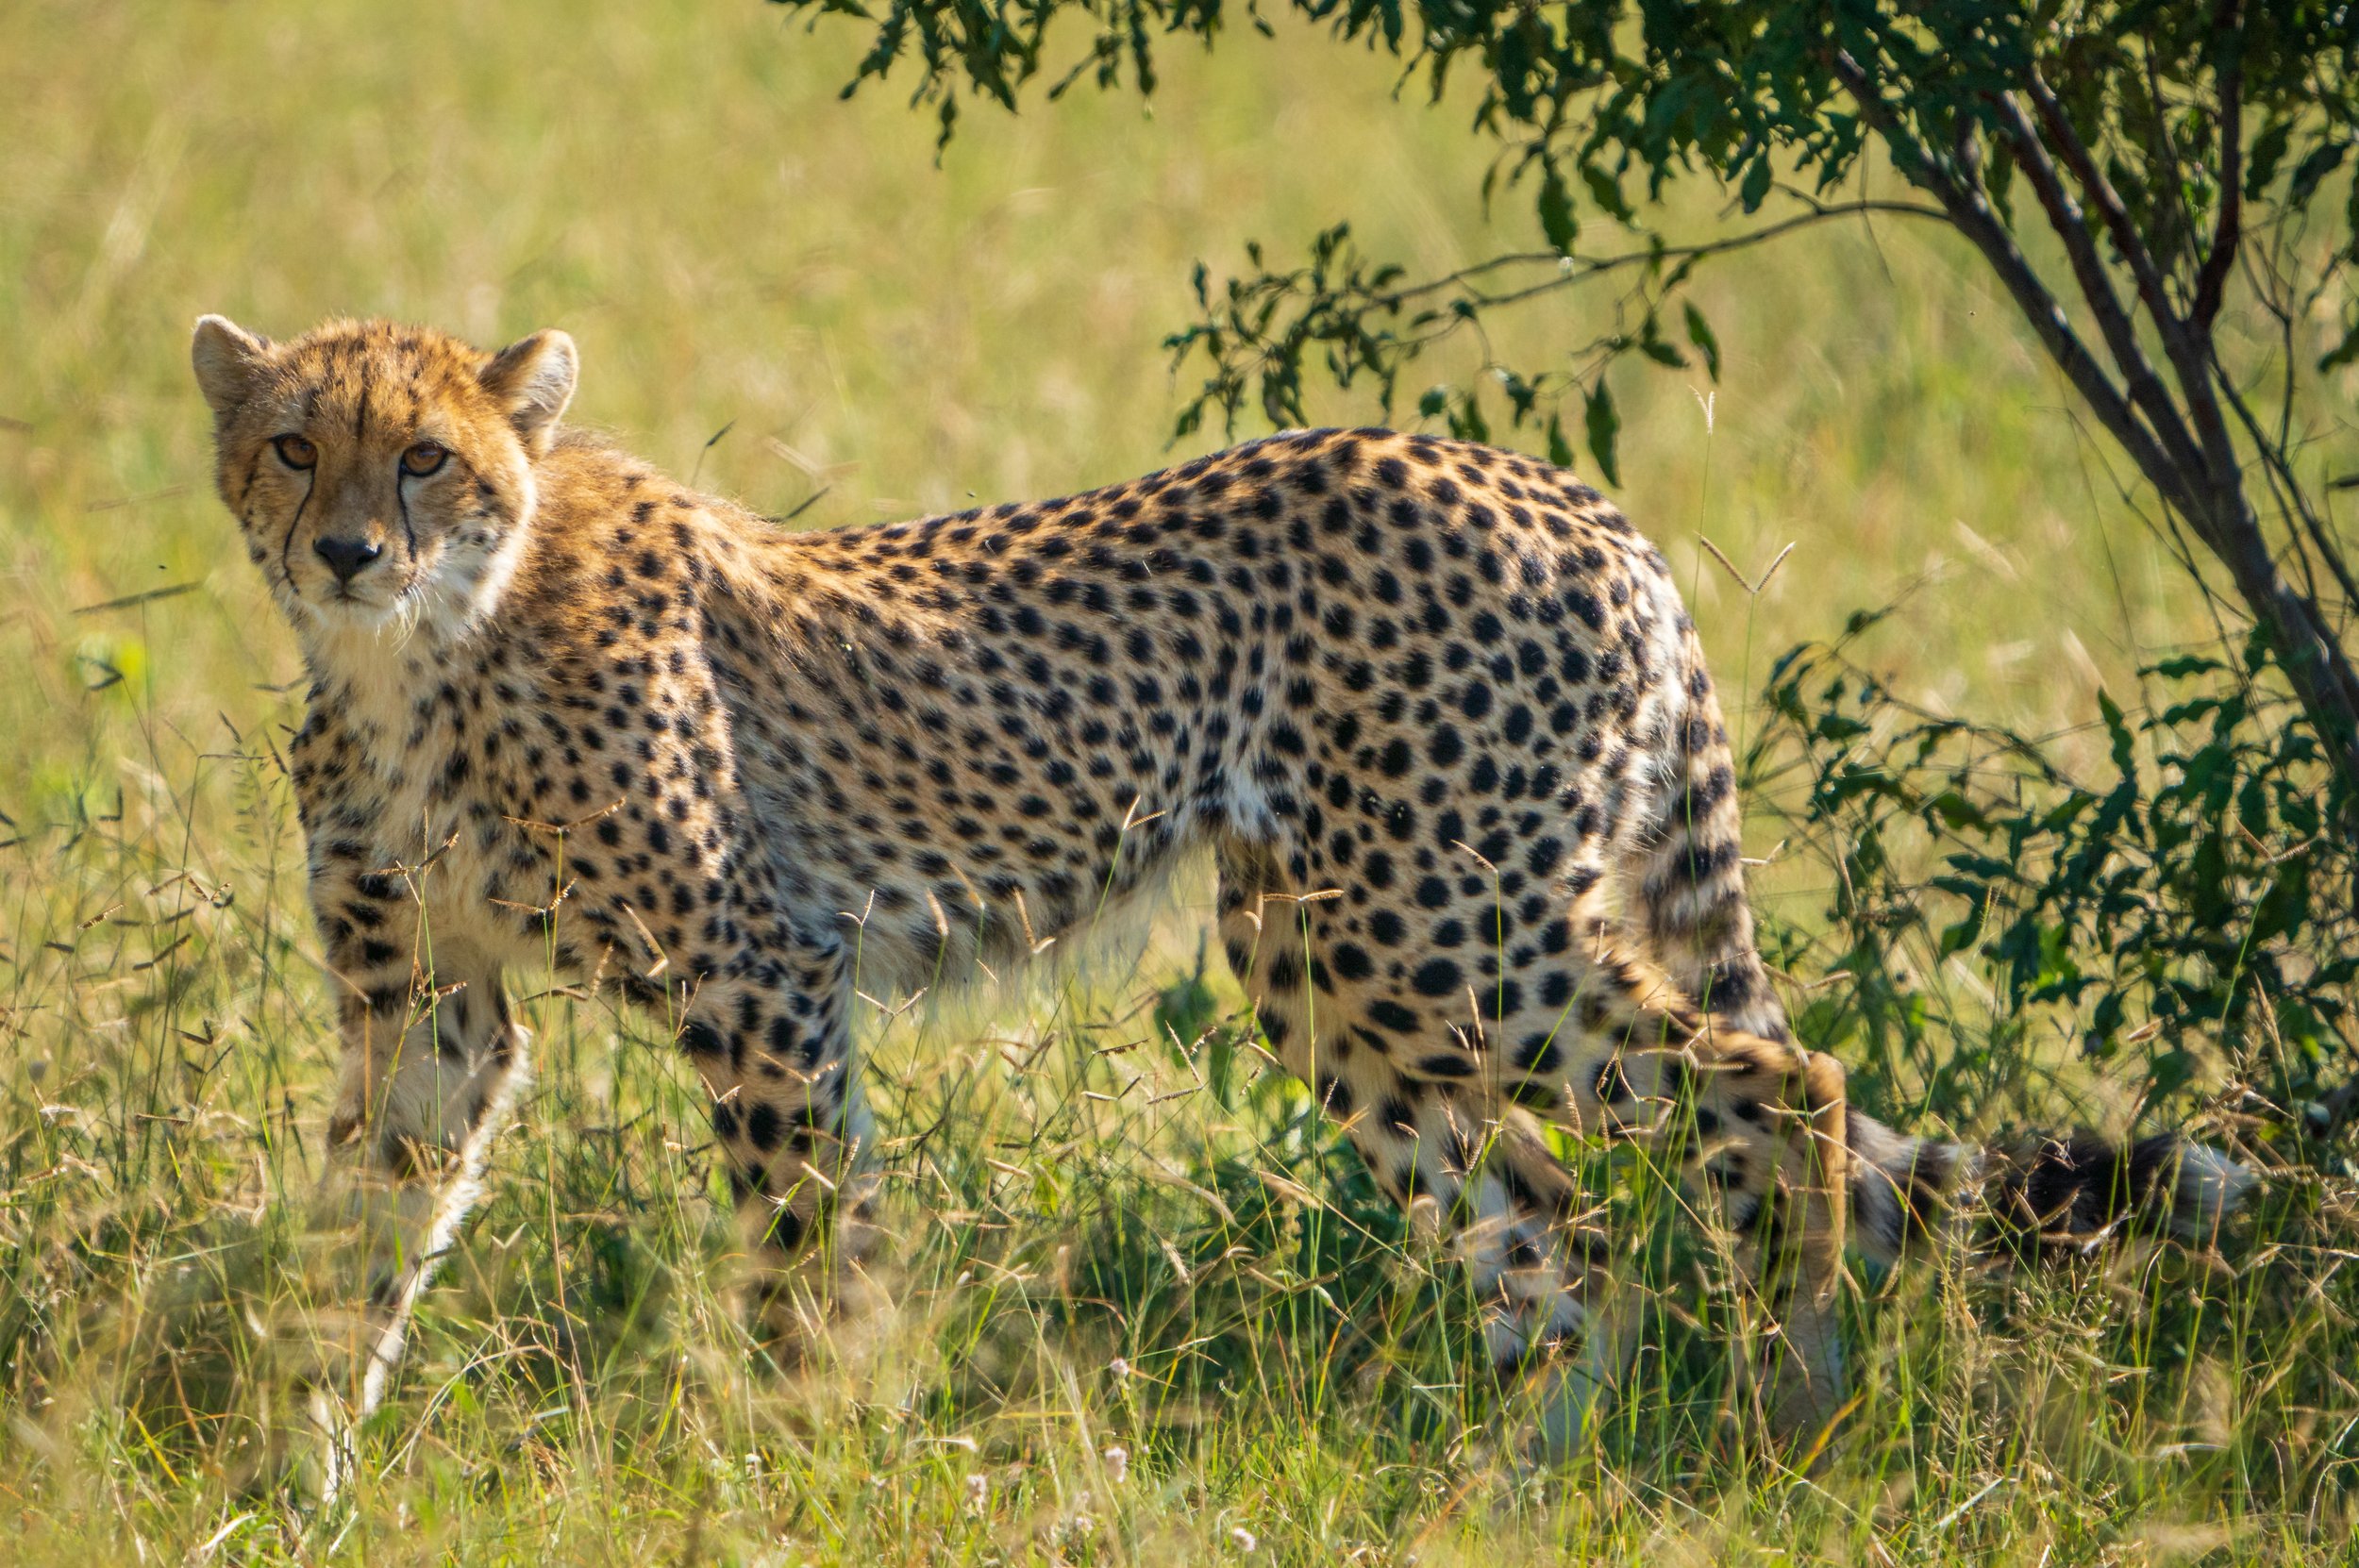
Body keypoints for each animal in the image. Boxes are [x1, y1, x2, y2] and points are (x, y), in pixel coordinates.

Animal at [191, 313, 2255, 1450]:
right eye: (291, 445)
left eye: (428, 459)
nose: (350, 547)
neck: (425, 656)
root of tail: (1564, 491)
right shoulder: (432, 1008)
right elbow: (355, 1247)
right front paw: (289, 1469)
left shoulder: (760, 982)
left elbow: (800, 1254)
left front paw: (799, 1453)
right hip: (1355, 957)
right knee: (1560, 1226)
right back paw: (1517, 1486)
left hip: (1429, 932)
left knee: (1772, 1089)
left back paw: (1798, 1399)